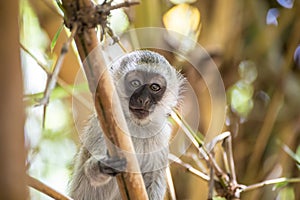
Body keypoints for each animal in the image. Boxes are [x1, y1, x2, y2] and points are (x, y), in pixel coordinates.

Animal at [69, 50, 185, 200]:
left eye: (154, 87)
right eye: (135, 83)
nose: (144, 100)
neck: (136, 126)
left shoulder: (161, 135)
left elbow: (153, 178)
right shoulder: (101, 125)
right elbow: (89, 172)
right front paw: (103, 166)